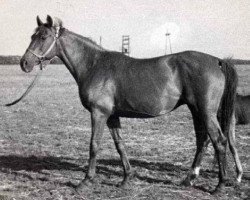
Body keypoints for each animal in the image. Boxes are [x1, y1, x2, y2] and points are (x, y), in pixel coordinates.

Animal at [19, 15, 242, 194]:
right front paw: (127, 178)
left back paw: (220, 185)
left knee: (220, 142)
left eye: (43, 37)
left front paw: (86, 181)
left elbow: (94, 144)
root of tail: (216, 61)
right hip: (196, 110)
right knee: (202, 141)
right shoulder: (112, 116)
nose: (24, 63)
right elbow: (120, 145)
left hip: (206, 112)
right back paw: (189, 179)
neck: (94, 65)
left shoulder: (99, 113)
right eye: (31, 36)